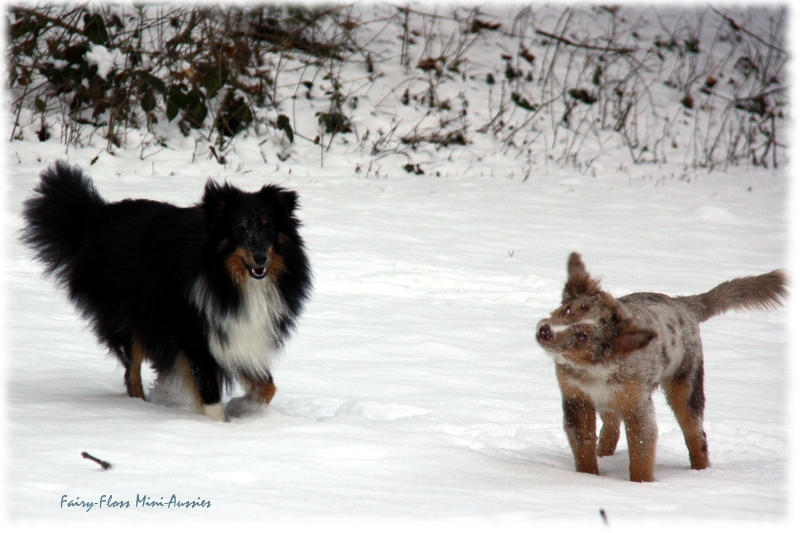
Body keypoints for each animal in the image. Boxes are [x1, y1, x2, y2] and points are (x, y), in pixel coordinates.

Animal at [21, 162, 310, 420]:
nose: (261, 259)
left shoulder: (240, 333)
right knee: (132, 373)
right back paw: (140, 408)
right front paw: (219, 425)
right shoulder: (197, 334)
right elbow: (210, 395)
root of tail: (97, 215)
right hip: (128, 316)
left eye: (268, 226)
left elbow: (268, 386)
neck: (230, 279)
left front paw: (244, 406)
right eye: (239, 228)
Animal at [536, 251, 784, 480]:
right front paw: (587, 478)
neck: (594, 370)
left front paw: (641, 485)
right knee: (612, 424)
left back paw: (700, 473)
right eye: (567, 310)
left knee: (696, 435)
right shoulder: (576, 398)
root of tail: (683, 304)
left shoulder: (638, 406)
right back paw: (604, 453)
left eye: (582, 337)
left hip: (685, 386)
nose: (545, 331)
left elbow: (641, 450)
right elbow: (583, 445)